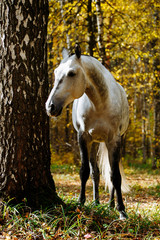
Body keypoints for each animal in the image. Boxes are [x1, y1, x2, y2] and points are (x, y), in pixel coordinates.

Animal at [45, 44, 129, 219]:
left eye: (71, 73)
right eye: (56, 72)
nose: (50, 107)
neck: (100, 103)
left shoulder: (114, 140)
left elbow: (115, 176)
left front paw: (122, 210)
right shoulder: (83, 137)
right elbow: (84, 171)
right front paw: (80, 203)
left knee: (110, 173)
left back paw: (111, 204)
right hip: (95, 143)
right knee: (95, 172)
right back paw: (96, 202)